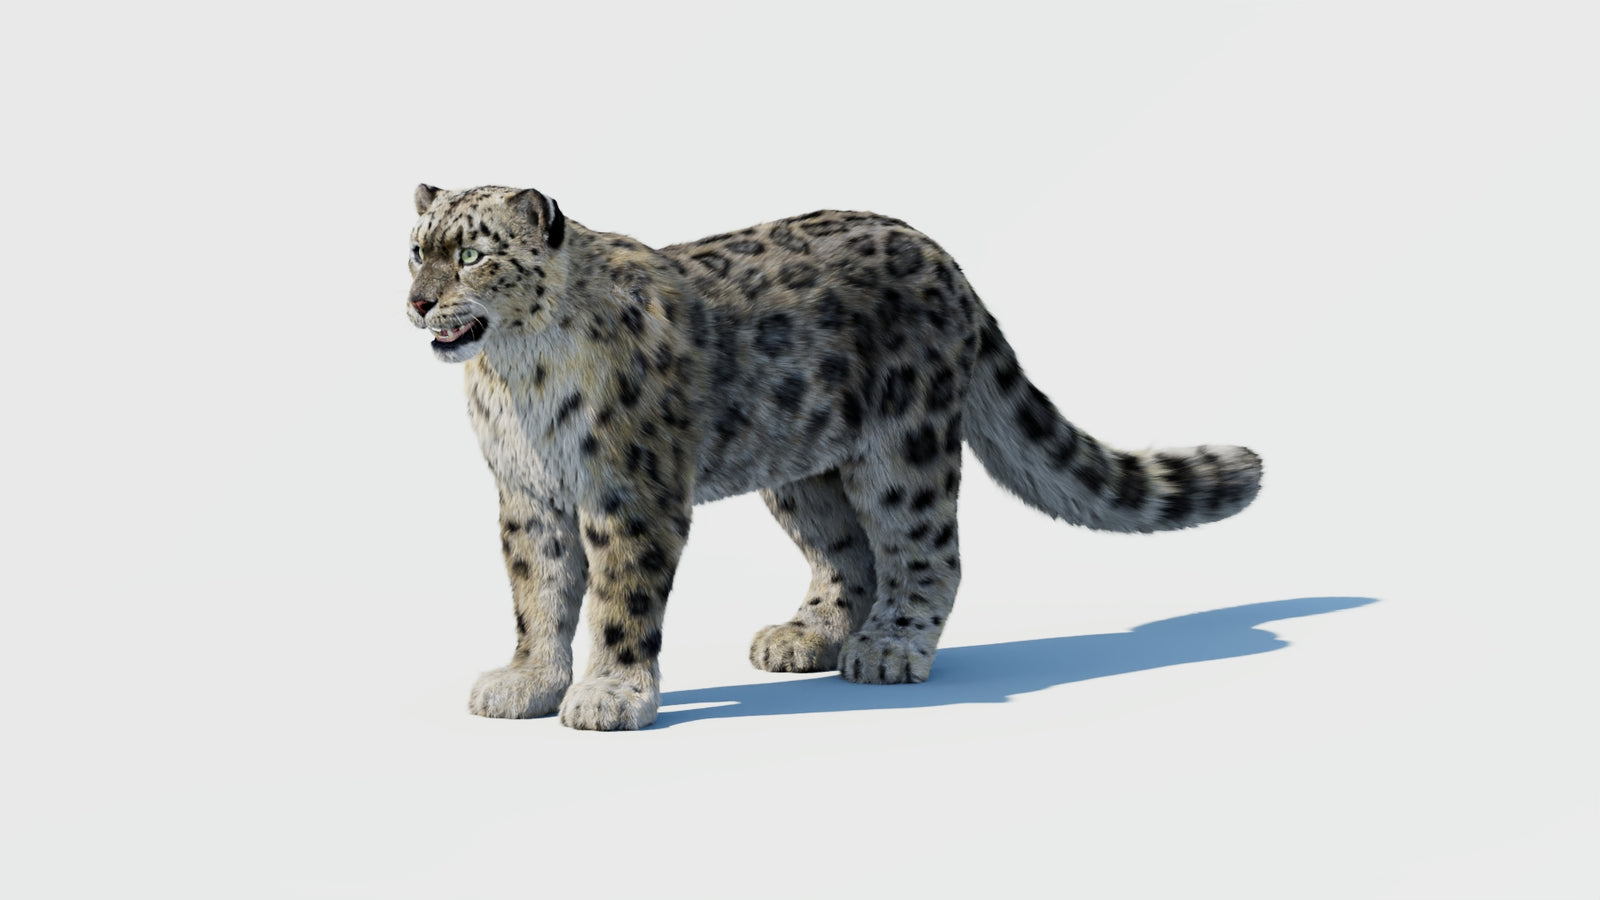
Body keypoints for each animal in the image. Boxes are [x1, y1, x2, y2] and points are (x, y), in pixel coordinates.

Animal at [405, 184, 1263, 731]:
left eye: (473, 255)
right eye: (416, 250)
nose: (418, 302)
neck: (515, 380)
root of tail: (945, 259)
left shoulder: (628, 494)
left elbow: (620, 599)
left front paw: (611, 695)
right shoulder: (529, 496)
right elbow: (538, 592)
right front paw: (526, 681)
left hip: (903, 450)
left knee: (926, 550)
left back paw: (889, 646)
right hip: (803, 469)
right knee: (847, 553)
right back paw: (807, 637)